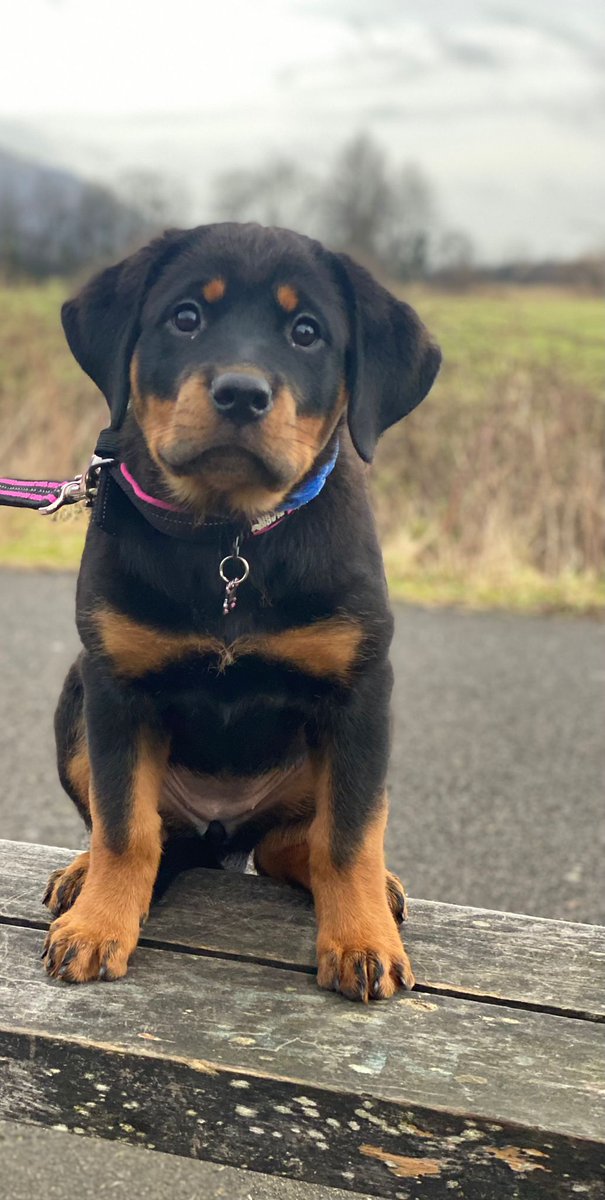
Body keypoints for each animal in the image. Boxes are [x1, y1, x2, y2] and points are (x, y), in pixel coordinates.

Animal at [41, 220, 439, 998]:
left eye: (307, 332)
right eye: (186, 317)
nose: (240, 394)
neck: (229, 537)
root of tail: (219, 829)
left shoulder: (359, 689)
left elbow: (349, 835)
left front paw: (361, 941)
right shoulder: (115, 685)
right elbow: (123, 826)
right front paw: (98, 926)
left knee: (297, 844)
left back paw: (378, 889)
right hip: (74, 700)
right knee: (146, 829)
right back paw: (81, 877)